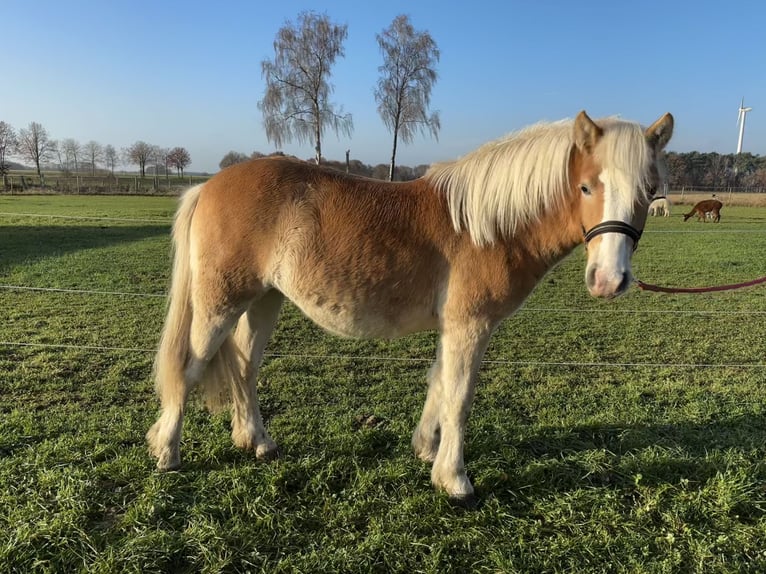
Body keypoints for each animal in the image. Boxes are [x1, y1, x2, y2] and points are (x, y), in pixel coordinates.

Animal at [147, 110, 676, 506]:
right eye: (587, 187)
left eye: (649, 192)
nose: (608, 281)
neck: (488, 226)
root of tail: (207, 186)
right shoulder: (469, 325)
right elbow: (459, 397)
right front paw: (456, 480)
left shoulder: (454, 328)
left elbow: (439, 384)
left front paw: (426, 451)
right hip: (219, 305)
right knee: (189, 368)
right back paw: (168, 452)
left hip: (264, 301)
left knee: (244, 367)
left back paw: (256, 440)